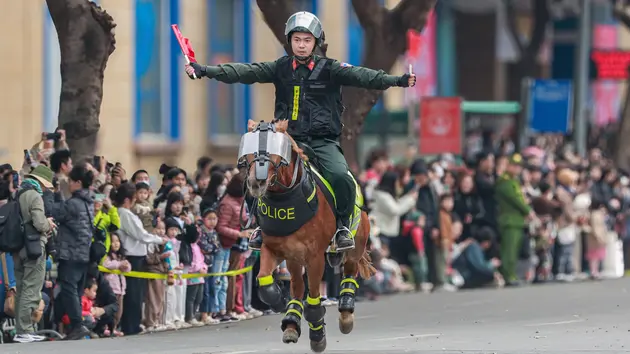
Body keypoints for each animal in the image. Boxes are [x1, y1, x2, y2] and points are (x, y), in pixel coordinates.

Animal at [237, 120, 376, 352]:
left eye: (276, 152)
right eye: (248, 151)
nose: (256, 183)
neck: (288, 197)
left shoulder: (315, 256)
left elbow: (313, 298)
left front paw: (317, 334)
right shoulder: (272, 248)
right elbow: (265, 281)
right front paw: (278, 300)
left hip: (355, 246)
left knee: (349, 272)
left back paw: (345, 313)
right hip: (294, 258)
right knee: (297, 285)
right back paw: (291, 321)